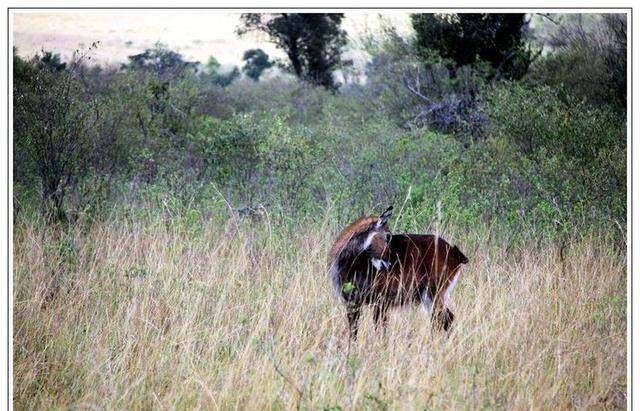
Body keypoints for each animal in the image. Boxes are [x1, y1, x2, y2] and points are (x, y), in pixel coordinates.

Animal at [328, 208, 468, 340]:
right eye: (388, 236)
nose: (390, 263)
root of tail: (453, 252)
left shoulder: (380, 302)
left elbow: (380, 329)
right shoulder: (352, 303)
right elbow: (354, 331)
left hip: (433, 294)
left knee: (445, 319)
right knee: (443, 320)